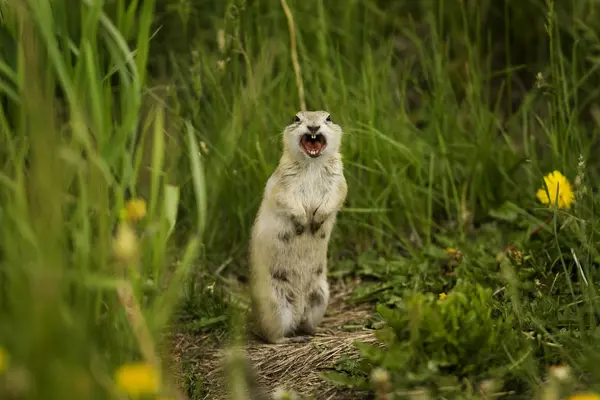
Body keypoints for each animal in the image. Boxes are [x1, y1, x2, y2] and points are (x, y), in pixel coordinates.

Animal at [246, 109, 346, 344]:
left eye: (328, 118)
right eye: (296, 118)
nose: (313, 127)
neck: (312, 164)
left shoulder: (339, 182)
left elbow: (335, 197)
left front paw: (316, 220)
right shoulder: (280, 183)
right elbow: (285, 199)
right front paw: (302, 222)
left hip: (320, 298)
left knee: (304, 324)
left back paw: (317, 331)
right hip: (274, 305)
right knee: (273, 337)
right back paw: (291, 339)